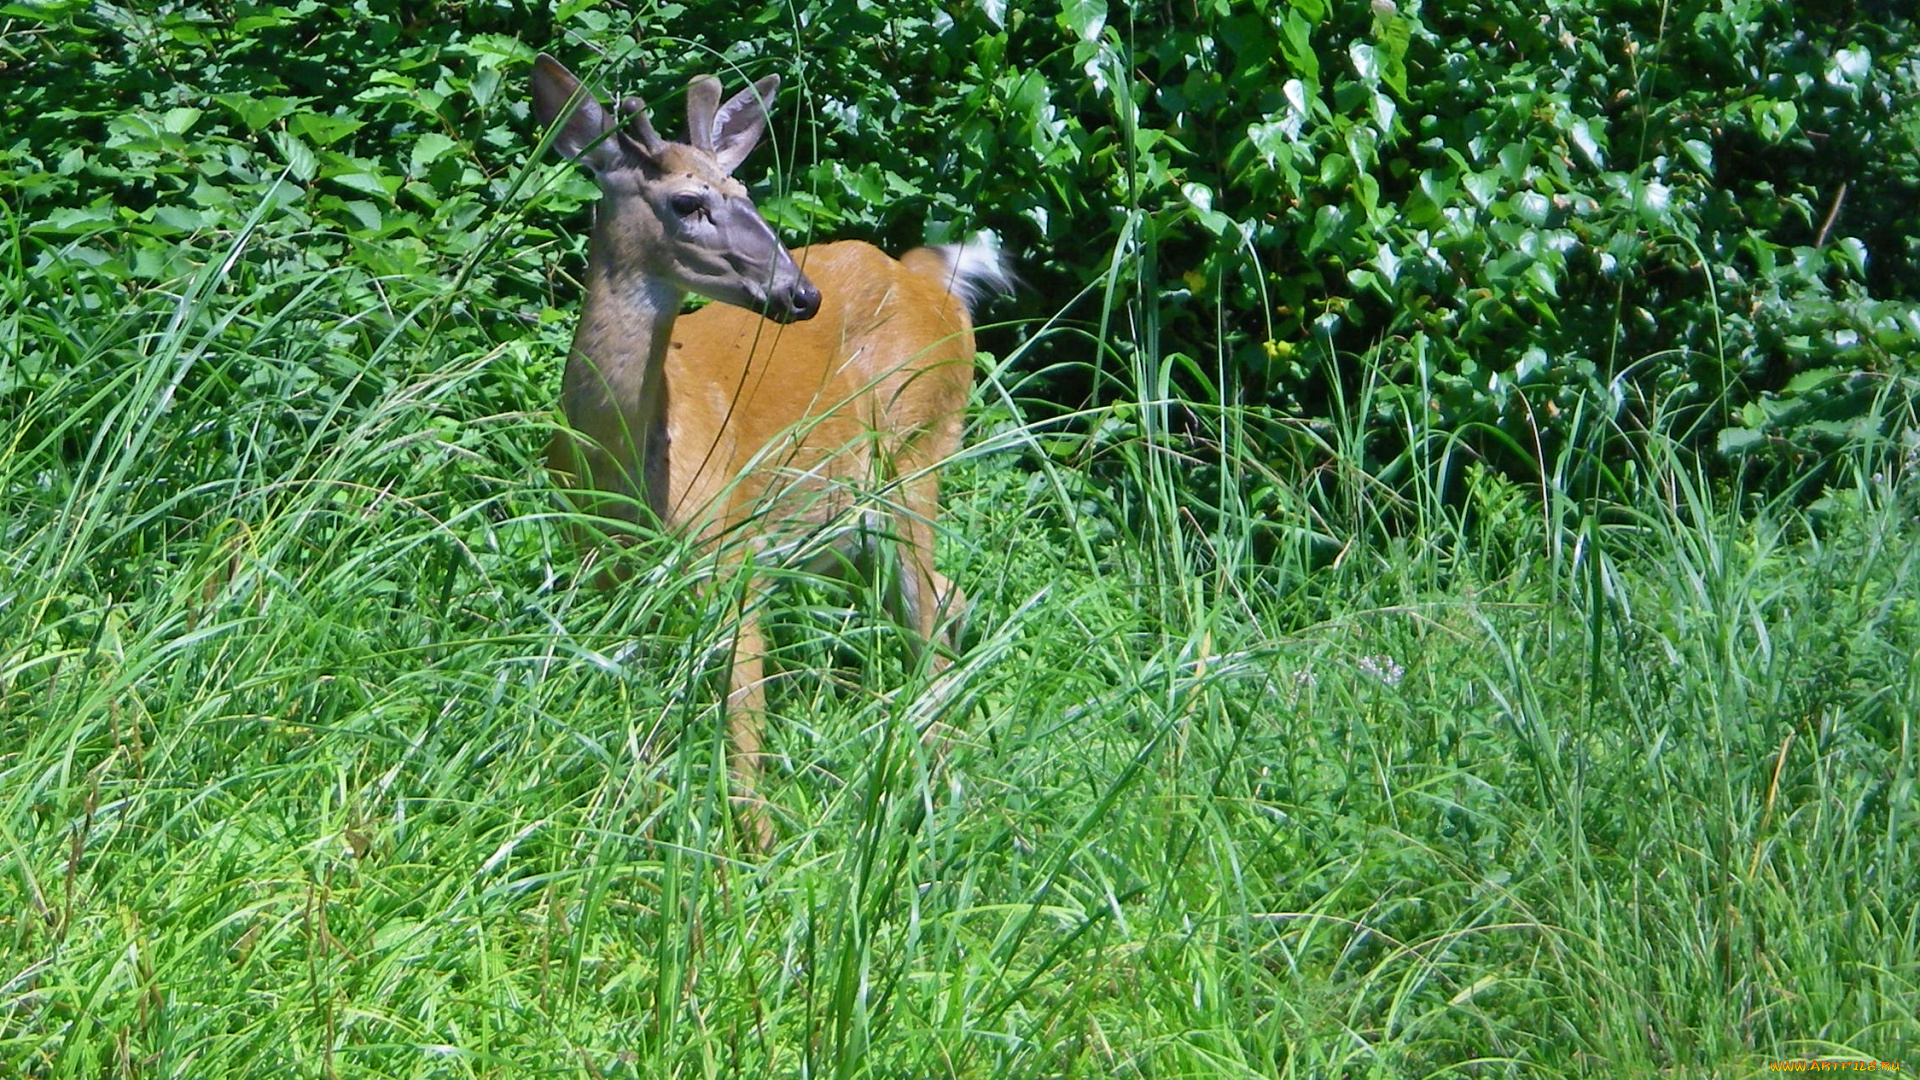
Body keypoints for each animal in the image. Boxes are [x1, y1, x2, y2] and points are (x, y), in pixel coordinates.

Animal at [526, 50, 1006, 845]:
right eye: (689, 202)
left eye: (747, 191)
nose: (799, 294)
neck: (623, 461)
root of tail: (927, 275)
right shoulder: (597, 561)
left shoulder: (730, 549)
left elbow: (740, 716)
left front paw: (753, 844)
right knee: (946, 598)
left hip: (918, 447)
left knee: (929, 616)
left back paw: (935, 794)